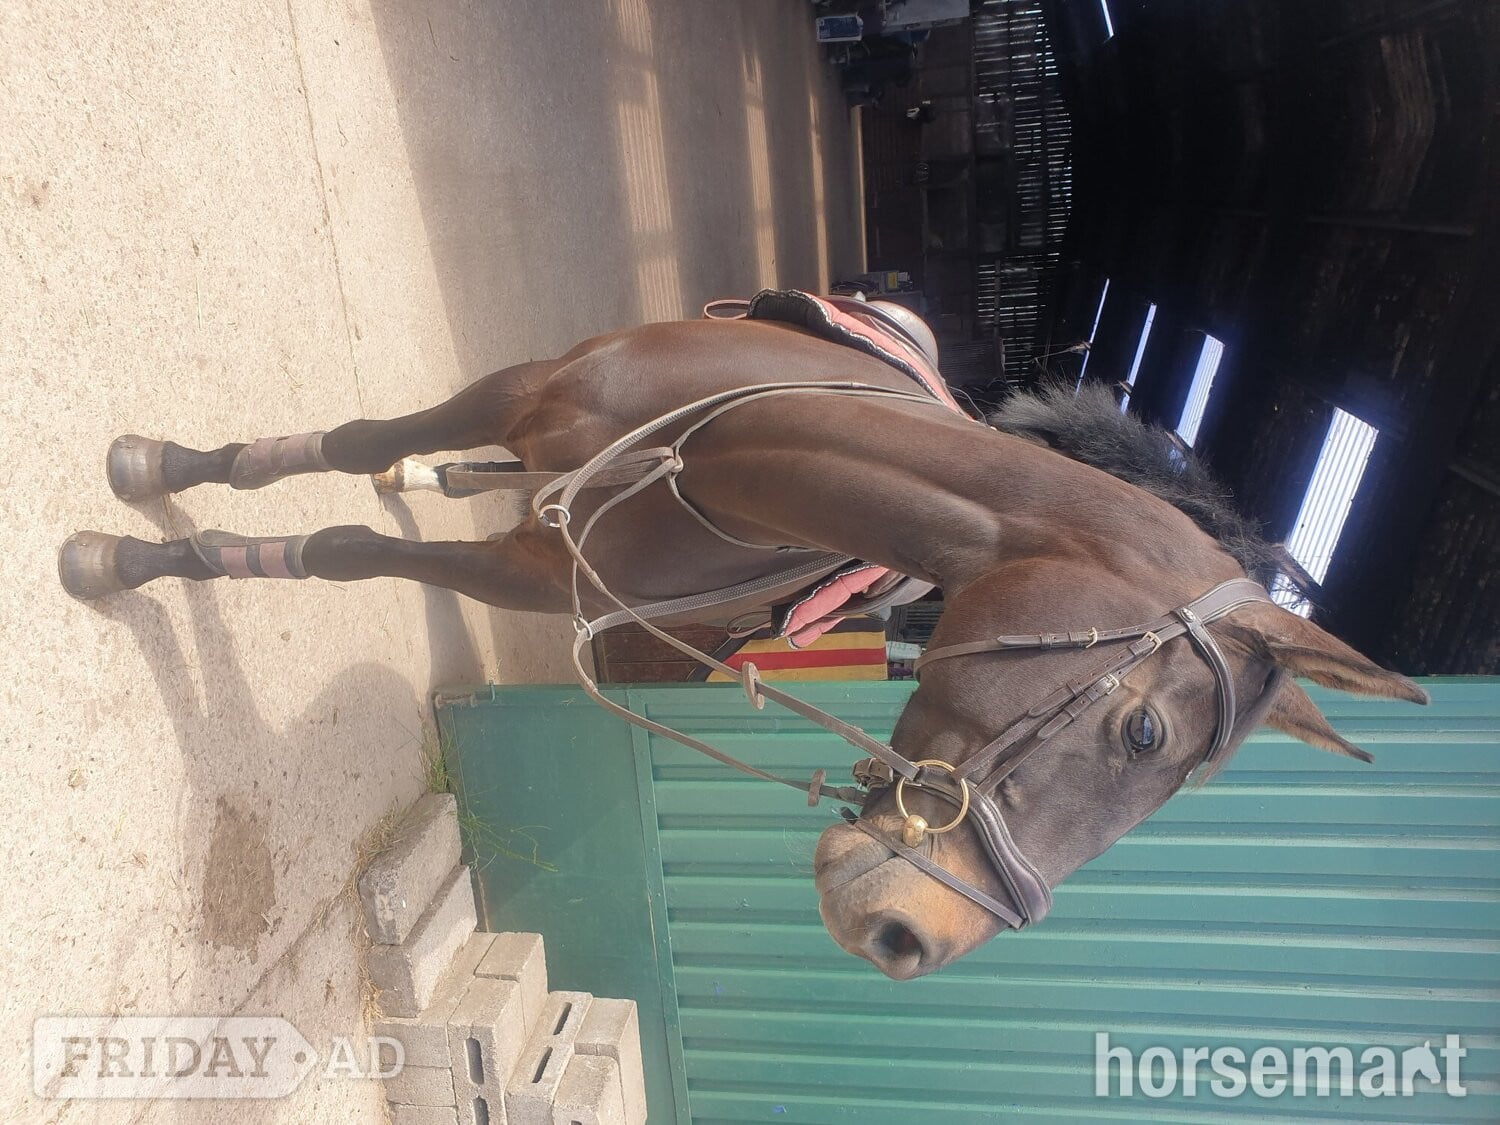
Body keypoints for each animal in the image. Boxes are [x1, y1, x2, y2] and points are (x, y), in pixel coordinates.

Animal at [59, 295, 1428, 980]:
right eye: (1142, 734)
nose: (912, 940)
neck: (731, 455)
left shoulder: (537, 574)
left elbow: (358, 540)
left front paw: (152, 545)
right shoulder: (517, 390)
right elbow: (344, 474)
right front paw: (141, 513)